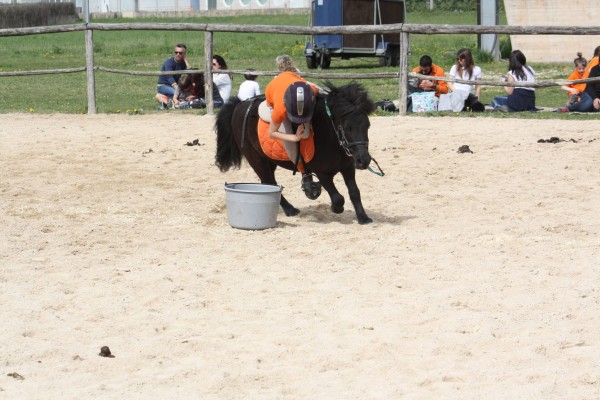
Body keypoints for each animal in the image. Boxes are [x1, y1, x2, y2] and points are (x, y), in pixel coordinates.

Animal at [214, 80, 376, 225]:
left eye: (368, 125)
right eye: (347, 127)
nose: (364, 160)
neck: (330, 137)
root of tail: (240, 105)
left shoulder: (348, 167)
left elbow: (354, 192)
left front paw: (363, 218)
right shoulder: (322, 172)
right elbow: (337, 197)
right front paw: (336, 208)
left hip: (269, 160)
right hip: (256, 159)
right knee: (270, 182)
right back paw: (290, 209)